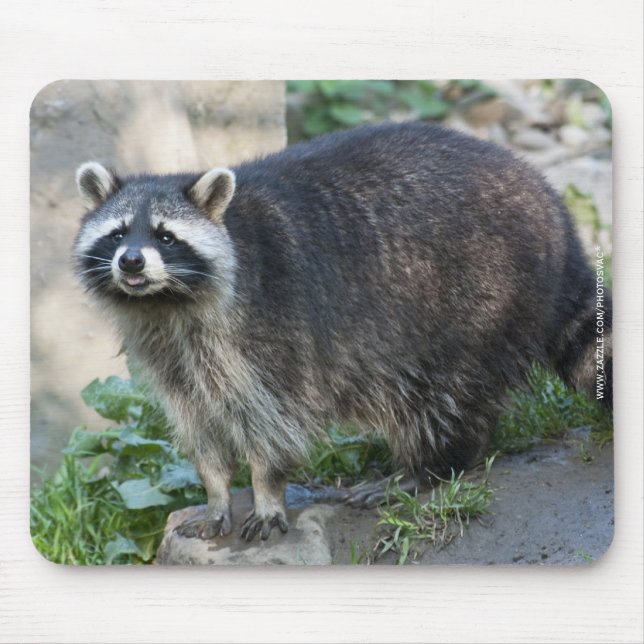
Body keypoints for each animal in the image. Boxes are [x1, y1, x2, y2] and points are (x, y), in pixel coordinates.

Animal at [73, 122, 612, 542]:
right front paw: (216, 493)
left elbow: (276, 421)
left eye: (166, 236)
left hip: (478, 295)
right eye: (118, 234)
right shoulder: (171, 354)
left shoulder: (273, 329)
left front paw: (267, 491)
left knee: (442, 398)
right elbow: (199, 424)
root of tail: (559, 220)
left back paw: (428, 467)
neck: (166, 302)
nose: (132, 261)